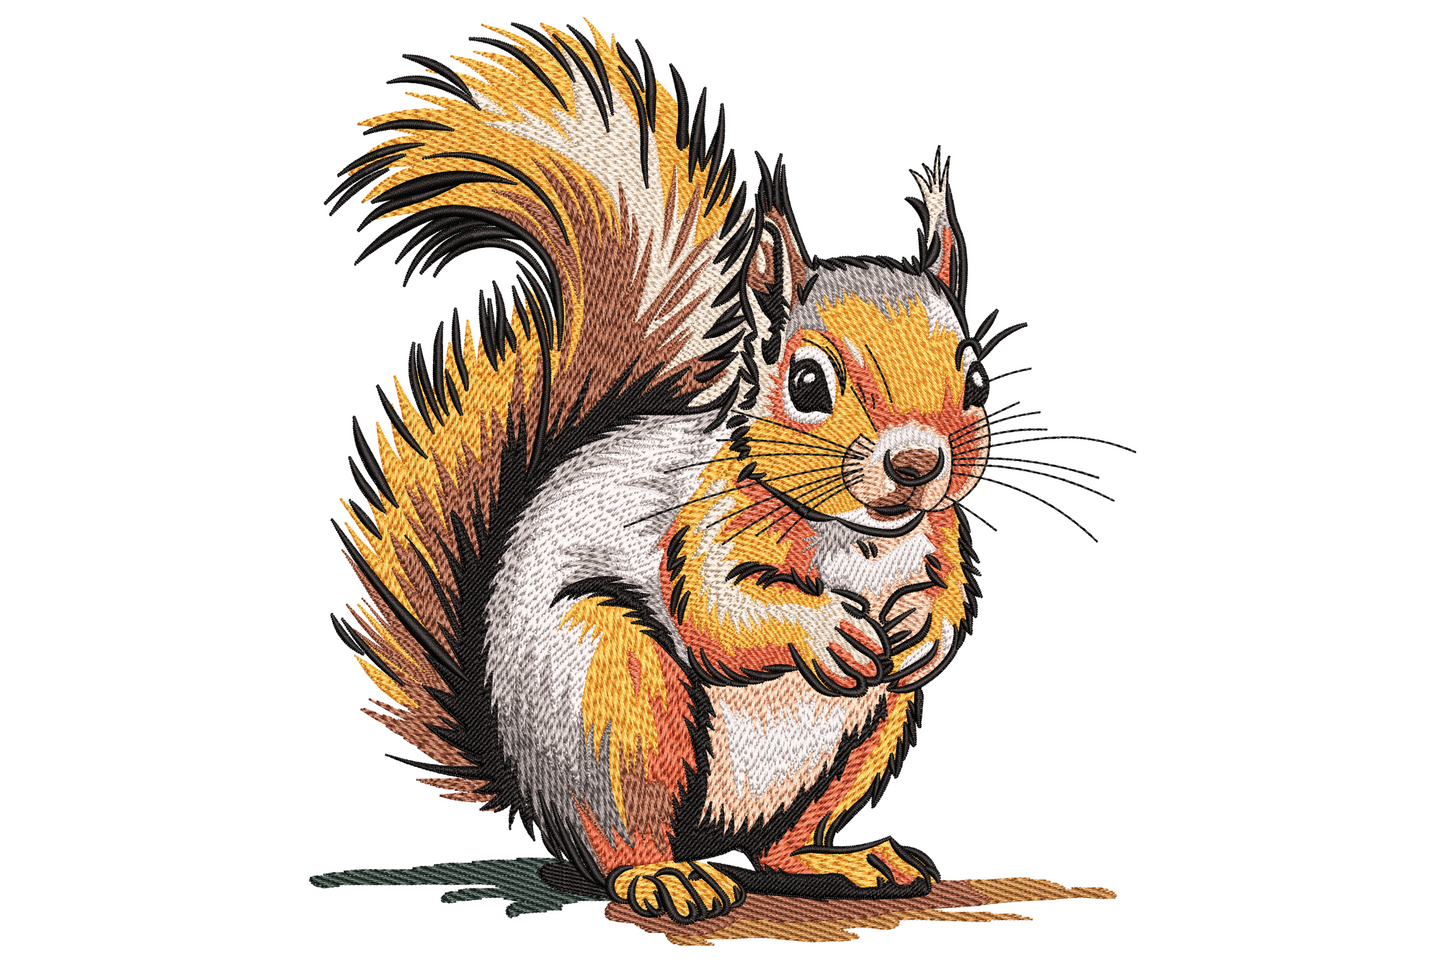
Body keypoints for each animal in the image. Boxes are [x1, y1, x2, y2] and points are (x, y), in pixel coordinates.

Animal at [325, 21, 1028, 925]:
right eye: (807, 384)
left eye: (976, 379)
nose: (916, 463)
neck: (864, 537)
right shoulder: (701, 520)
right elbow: (718, 614)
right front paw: (824, 629)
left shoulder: (943, 535)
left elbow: (950, 598)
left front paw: (921, 626)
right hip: (612, 691)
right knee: (617, 837)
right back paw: (664, 876)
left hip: (871, 729)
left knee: (778, 845)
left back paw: (839, 860)